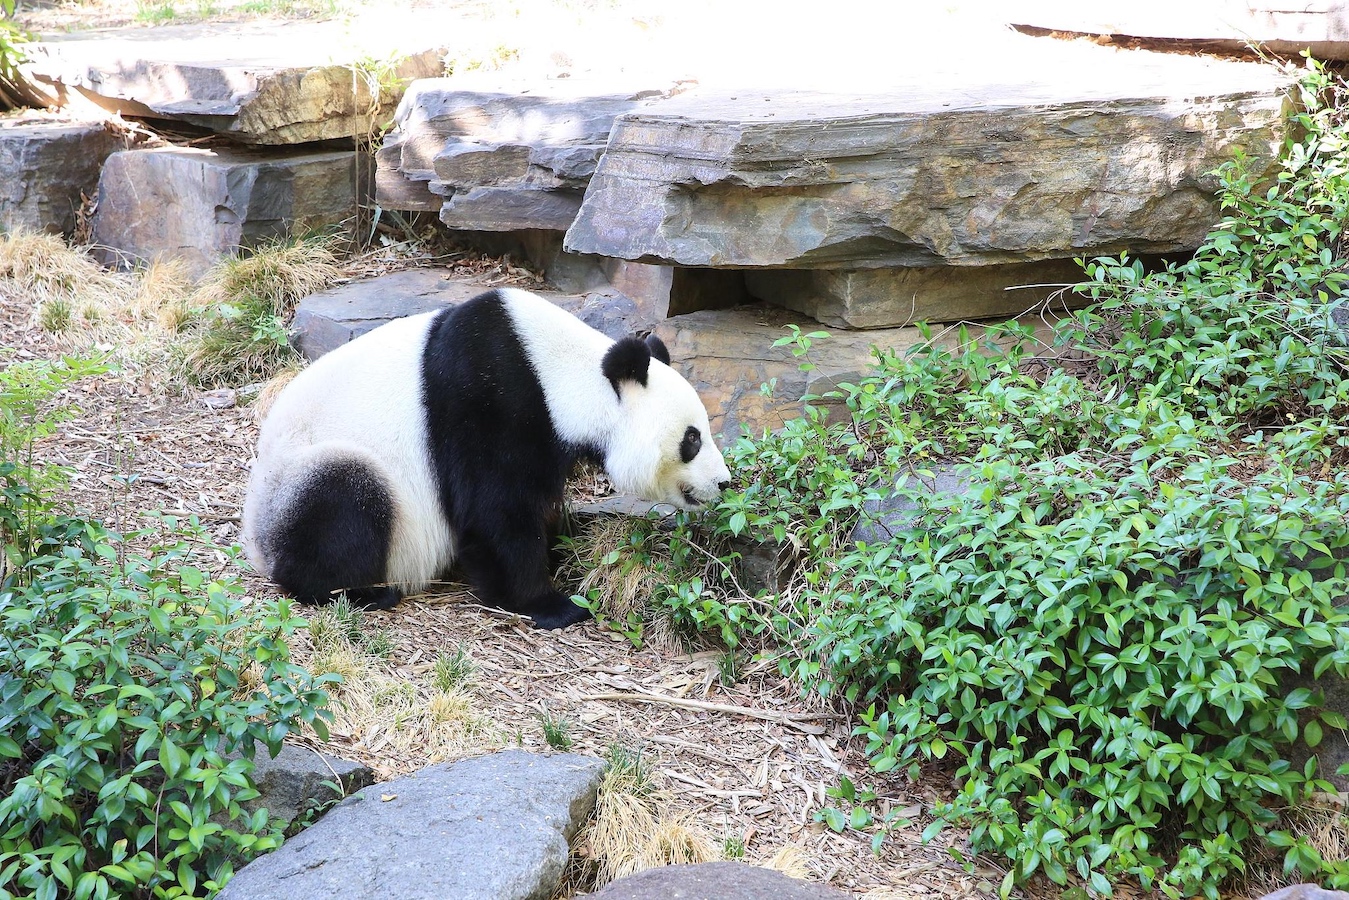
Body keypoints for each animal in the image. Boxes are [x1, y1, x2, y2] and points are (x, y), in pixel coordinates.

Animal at [237, 287, 733, 626]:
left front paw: (566, 544)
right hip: (304, 476)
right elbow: (495, 512)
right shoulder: (489, 399)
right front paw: (550, 603)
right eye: (692, 439)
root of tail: (255, 544)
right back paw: (360, 592)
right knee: (344, 498)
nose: (724, 482)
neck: (558, 372)